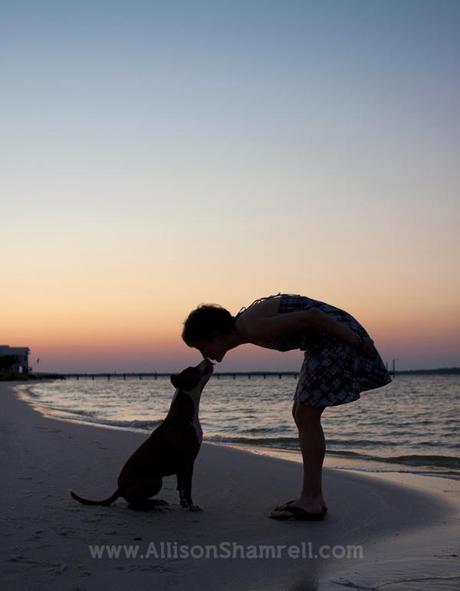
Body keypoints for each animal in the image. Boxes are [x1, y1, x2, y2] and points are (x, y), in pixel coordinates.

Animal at [69, 358, 214, 512]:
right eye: (192, 368)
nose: (206, 358)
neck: (185, 413)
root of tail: (120, 488)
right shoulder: (188, 462)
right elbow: (187, 488)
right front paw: (192, 506)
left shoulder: (181, 466)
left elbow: (181, 488)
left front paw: (184, 505)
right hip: (155, 480)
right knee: (133, 504)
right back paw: (151, 507)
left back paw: (155, 502)